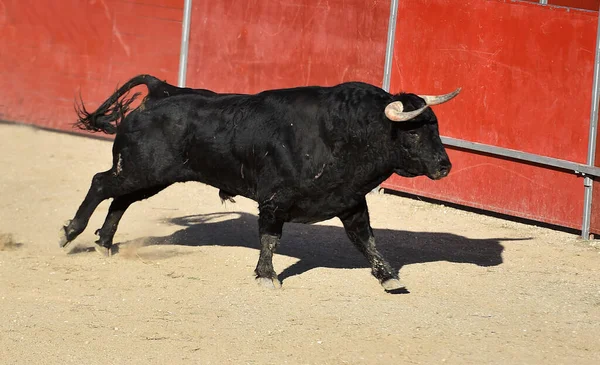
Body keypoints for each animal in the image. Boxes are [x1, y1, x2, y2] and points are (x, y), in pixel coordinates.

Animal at [58, 74, 460, 290]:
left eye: (436, 127)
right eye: (413, 133)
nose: (444, 167)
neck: (341, 132)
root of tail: (161, 89)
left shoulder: (349, 201)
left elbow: (367, 241)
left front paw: (389, 277)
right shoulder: (274, 200)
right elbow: (270, 238)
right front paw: (267, 276)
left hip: (151, 175)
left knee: (120, 199)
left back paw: (104, 243)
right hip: (143, 169)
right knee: (101, 184)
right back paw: (71, 233)